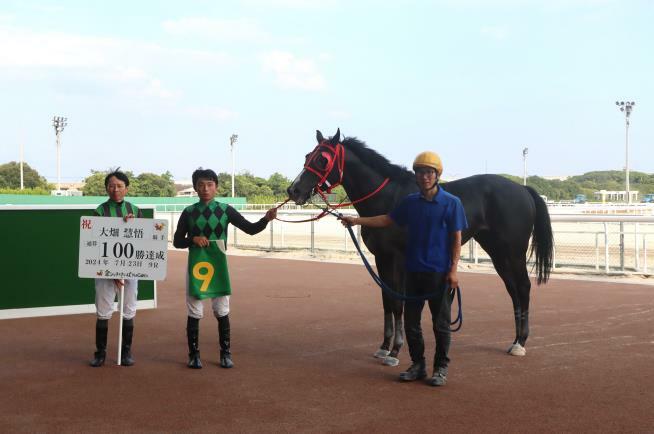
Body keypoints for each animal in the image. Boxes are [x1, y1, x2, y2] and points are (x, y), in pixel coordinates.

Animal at [288, 127, 552, 364]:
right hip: (498, 253)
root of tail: (522, 188)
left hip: (513, 252)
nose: (294, 190)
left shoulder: (396, 259)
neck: (388, 199)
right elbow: (386, 300)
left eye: (322, 159)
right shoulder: (381, 258)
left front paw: (395, 350)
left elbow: (397, 302)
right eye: (307, 156)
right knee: (513, 290)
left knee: (523, 287)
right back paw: (516, 340)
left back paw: (520, 343)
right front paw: (384, 346)